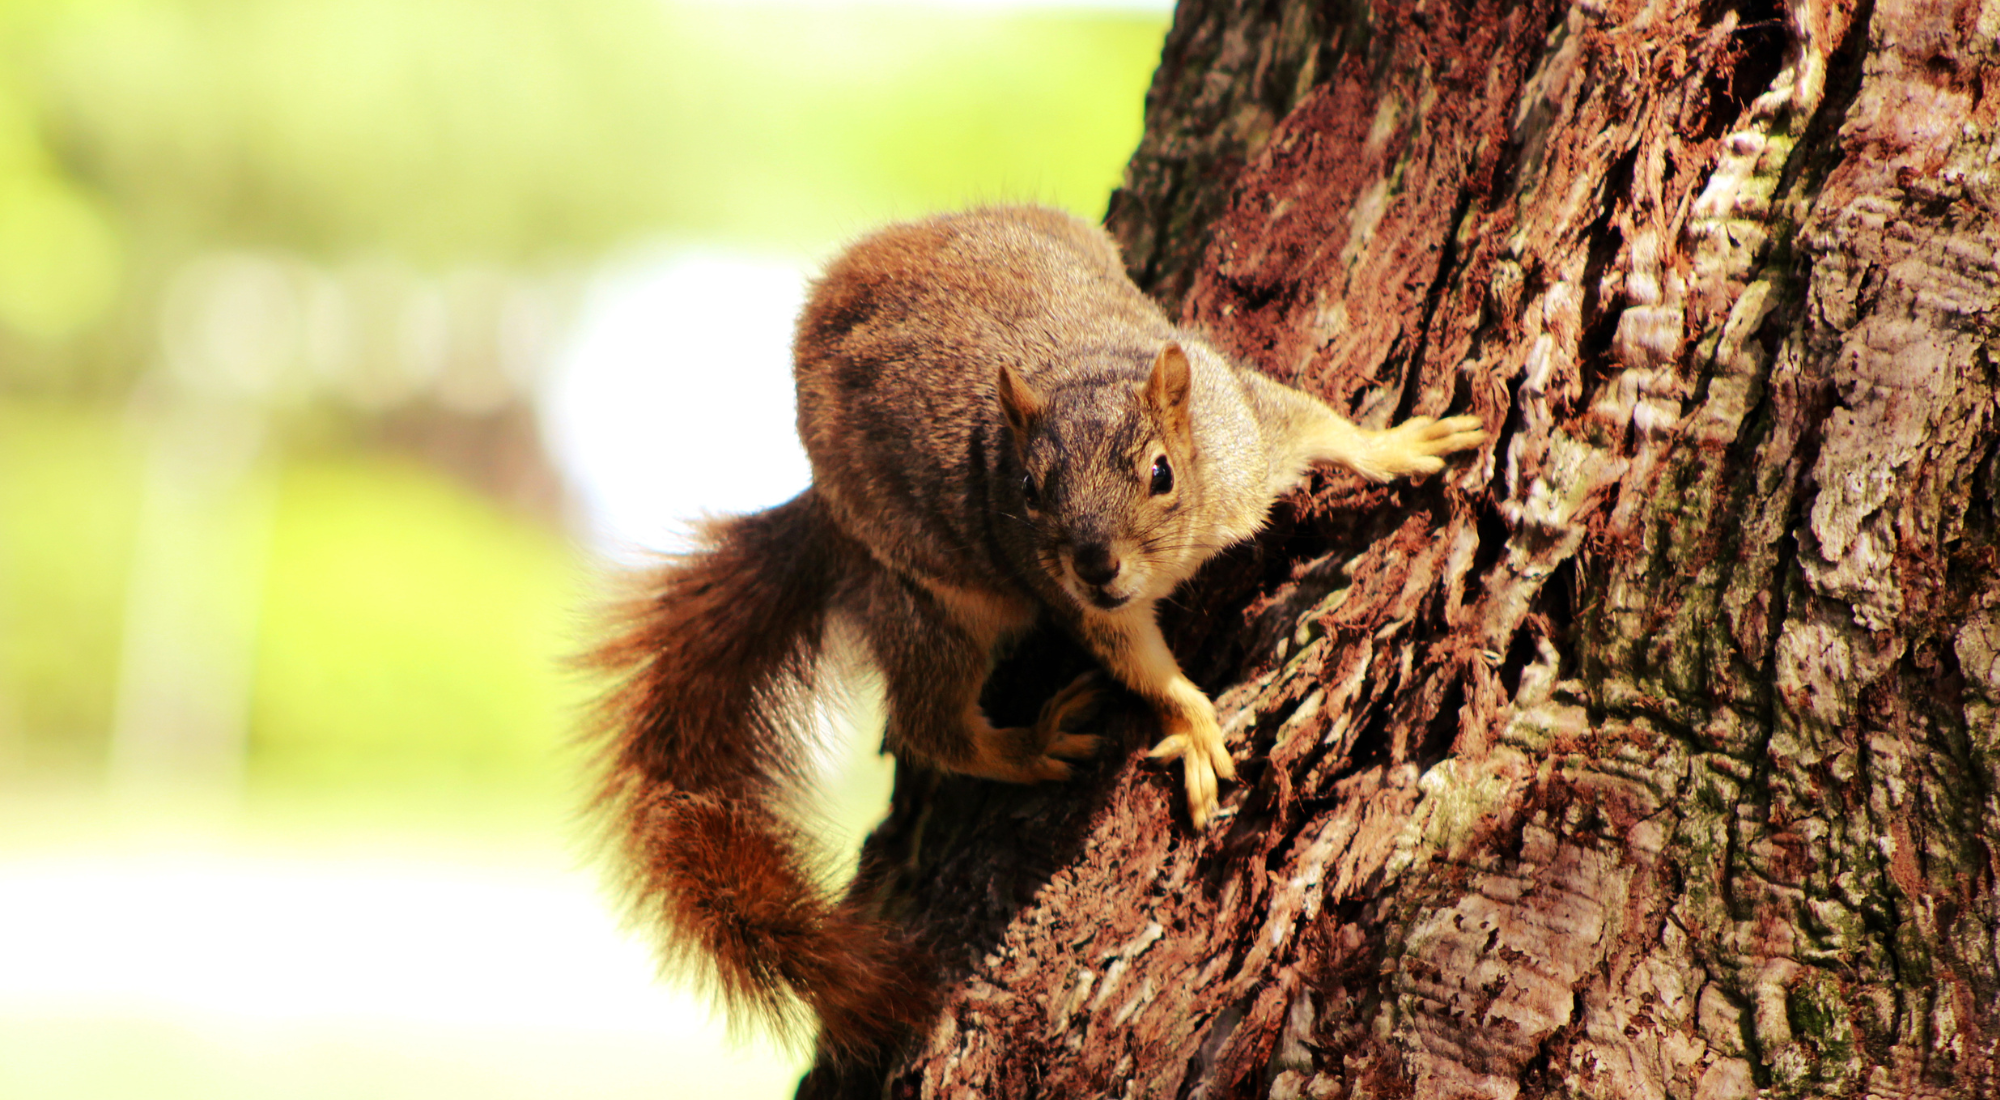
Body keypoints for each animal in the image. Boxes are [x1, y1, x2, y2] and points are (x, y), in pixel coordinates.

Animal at [588, 205, 1485, 1059]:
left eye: (1161, 472)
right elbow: (1140, 665)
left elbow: (1324, 428)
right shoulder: (1082, 603)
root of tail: (825, 512)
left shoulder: (1246, 435)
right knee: (929, 722)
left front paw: (1398, 444)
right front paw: (1195, 729)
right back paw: (1026, 746)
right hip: (930, 602)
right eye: (1027, 489)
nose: (1095, 564)